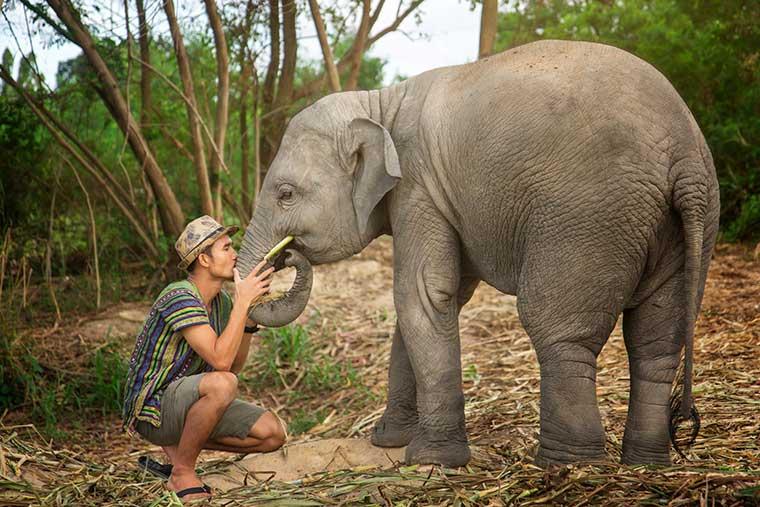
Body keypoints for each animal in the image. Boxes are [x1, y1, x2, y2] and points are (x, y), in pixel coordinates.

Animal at [240, 39, 720, 468]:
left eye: (285, 194)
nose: (285, 256)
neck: (381, 104)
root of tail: (683, 154)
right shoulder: (440, 199)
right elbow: (434, 301)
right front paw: (389, 442)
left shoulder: (419, 188)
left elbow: (422, 294)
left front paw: (433, 460)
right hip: (685, 226)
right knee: (656, 343)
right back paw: (646, 464)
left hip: (589, 218)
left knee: (558, 331)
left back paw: (568, 464)